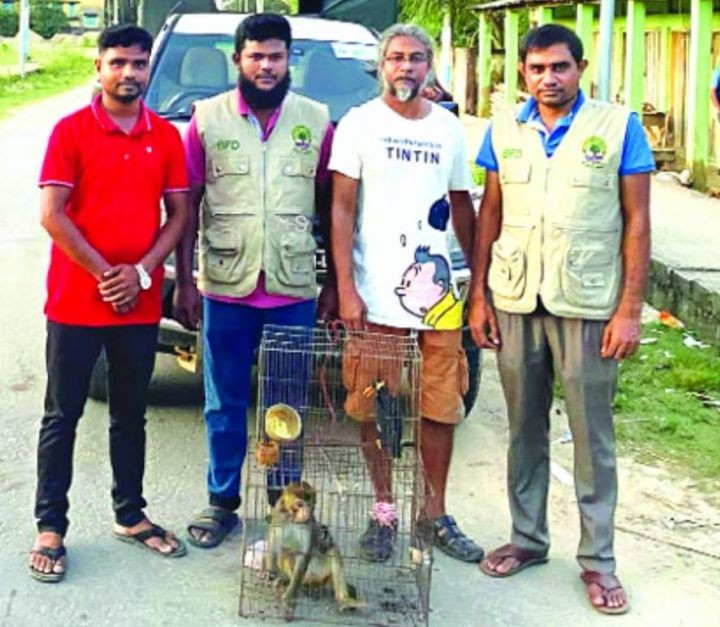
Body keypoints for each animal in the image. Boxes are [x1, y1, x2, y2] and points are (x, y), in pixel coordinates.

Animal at [264, 484, 366, 616]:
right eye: (300, 504)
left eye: (310, 505)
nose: (306, 512)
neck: (293, 520)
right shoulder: (278, 516)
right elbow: (272, 542)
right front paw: (270, 572)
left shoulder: (309, 524)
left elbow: (305, 554)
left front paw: (289, 595)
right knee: (285, 552)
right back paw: (289, 581)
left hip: (321, 572)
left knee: (332, 551)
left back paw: (344, 600)